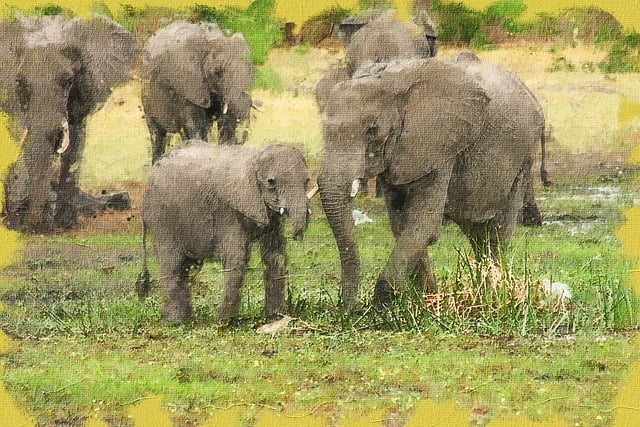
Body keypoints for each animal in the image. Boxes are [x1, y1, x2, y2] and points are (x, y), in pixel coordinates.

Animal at [0, 15, 136, 234]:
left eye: (68, 81)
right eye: (20, 83)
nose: (31, 226)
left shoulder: (85, 87)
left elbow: (75, 140)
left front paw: (65, 224)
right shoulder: (11, 98)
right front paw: (16, 223)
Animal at [136, 140, 314, 324]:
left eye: (307, 181)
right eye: (271, 182)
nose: (297, 235)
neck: (254, 158)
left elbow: (275, 255)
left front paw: (275, 318)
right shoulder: (228, 211)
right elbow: (237, 256)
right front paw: (222, 323)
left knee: (184, 267)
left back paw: (184, 319)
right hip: (161, 218)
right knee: (172, 263)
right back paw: (177, 321)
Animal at [142, 21, 252, 164]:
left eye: (250, 69)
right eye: (217, 72)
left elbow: (226, 121)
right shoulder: (186, 85)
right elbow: (195, 125)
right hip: (146, 94)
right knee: (157, 135)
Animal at [318, 56, 548, 310]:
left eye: (372, 130)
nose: (349, 310)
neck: (390, 82)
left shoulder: (440, 147)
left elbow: (423, 225)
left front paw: (382, 306)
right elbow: (401, 224)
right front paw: (426, 300)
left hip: (522, 158)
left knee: (497, 233)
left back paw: (493, 294)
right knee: (477, 232)